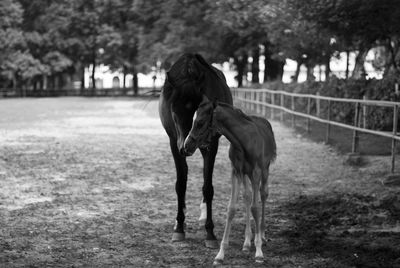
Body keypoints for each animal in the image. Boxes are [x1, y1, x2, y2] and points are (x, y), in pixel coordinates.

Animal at [159, 53, 233, 248]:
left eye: (200, 116)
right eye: (173, 112)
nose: (186, 146)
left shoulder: (211, 145)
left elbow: (208, 187)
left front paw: (210, 233)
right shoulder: (173, 143)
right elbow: (181, 184)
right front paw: (179, 228)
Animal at [184, 96, 276, 264]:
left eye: (200, 122)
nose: (186, 146)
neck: (243, 140)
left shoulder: (256, 172)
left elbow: (255, 208)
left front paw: (259, 252)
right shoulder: (236, 171)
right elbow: (232, 208)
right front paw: (220, 254)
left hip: (264, 170)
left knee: (263, 194)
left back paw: (262, 235)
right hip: (245, 174)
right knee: (247, 197)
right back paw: (246, 242)